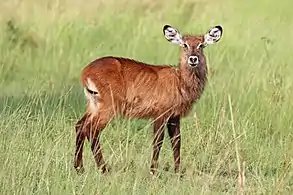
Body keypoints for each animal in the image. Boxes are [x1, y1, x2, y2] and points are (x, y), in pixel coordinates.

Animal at [74, 23, 222, 174]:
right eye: (184, 44)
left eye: (201, 45)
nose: (193, 59)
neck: (179, 80)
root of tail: (86, 72)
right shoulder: (160, 114)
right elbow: (158, 141)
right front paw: (153, 171)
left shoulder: (174, 117)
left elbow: (177, 141)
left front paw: (178, 172)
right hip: (108, 108)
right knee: (91, 130)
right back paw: (103, 169)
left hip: (93, 105)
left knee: (80, 126)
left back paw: (79, 167)